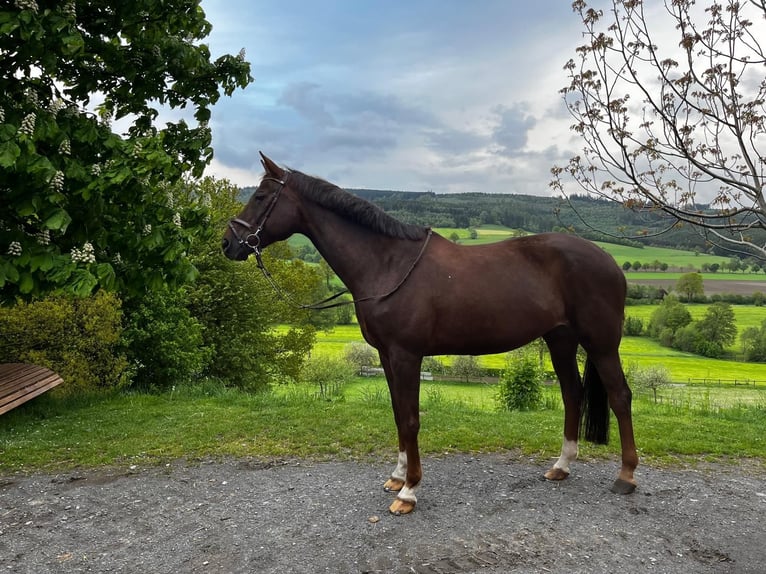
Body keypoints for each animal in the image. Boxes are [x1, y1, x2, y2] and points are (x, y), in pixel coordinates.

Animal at [222, 153, 638, 515]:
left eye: (260, 197)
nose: (228, 243)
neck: (388, 264)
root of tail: (610, 261)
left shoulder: (407, 355)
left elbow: (410, 419)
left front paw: (409, 491)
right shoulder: (386, 355)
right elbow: (396, 413)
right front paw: (397, 476)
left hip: (601, 343)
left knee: (620, 396)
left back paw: (626, 476)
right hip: (561, 340)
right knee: (572, 395)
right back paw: (562, 466)